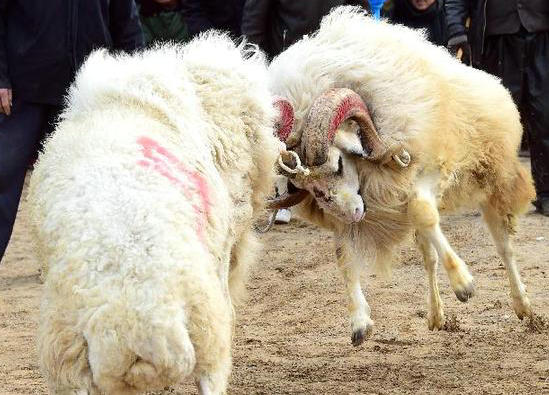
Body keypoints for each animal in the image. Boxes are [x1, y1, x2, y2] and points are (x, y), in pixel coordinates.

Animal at [266, 6, 536, 346]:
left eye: (338, 164)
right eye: (308, 187)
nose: (355, 215)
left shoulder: (427, 172)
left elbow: (423, 212)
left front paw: (464, 284)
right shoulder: (353, 208)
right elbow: (342, 254)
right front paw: (360, 322)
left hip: (489, 185)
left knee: (504, 247)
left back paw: (523, 306)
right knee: (429, 255)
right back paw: (436, 315)